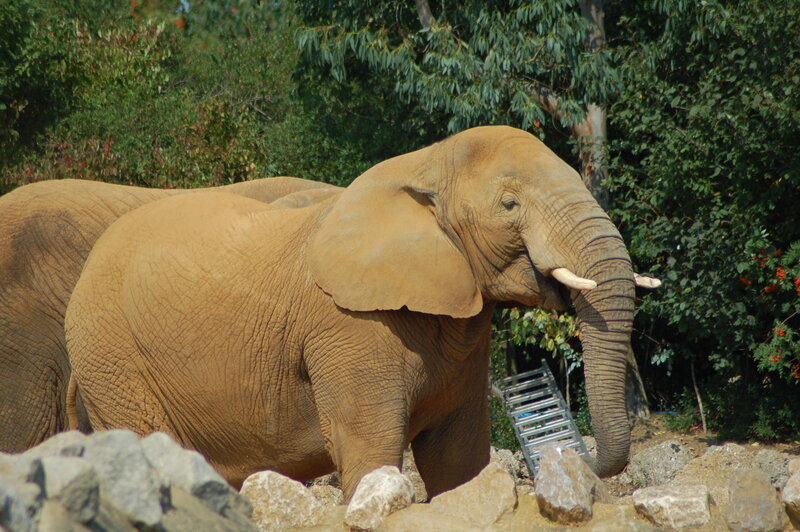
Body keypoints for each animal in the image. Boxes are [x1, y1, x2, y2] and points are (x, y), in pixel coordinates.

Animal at [64, 126, 658, 501]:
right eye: (510, 205)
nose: (571, 458)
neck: (427, 161)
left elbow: (457, 458)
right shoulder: (349, 327)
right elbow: (369, 448)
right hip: (112, 361)